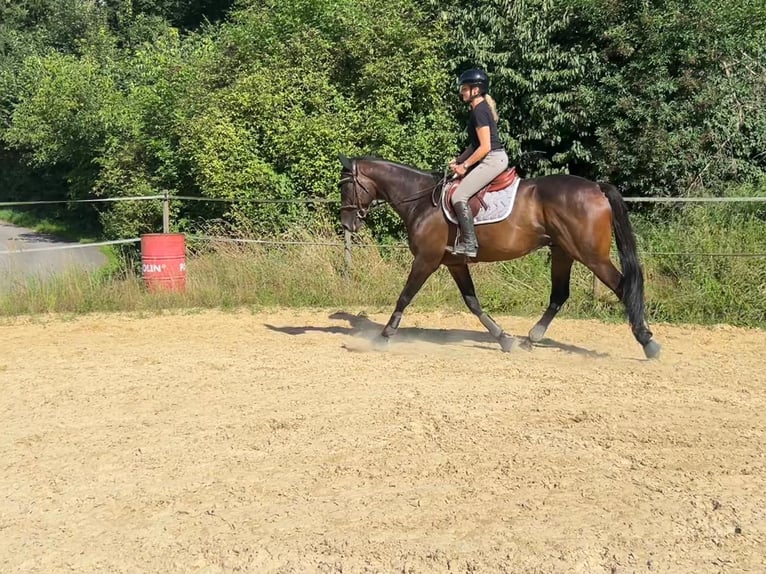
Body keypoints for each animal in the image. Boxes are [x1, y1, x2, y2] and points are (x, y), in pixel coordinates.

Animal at [340, 154, 664, 360]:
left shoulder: (426, 260)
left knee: (622, 287)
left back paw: (647, 342)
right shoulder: (454, 263)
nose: (347, 224)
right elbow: (472, 302)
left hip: (590, 255)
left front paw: (383, 336)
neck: (421, 200)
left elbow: (404, 296)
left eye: (345, 186)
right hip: (563, 251)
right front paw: (504, 338)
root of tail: (596, 186)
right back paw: (531, 338)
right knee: (560, 294)